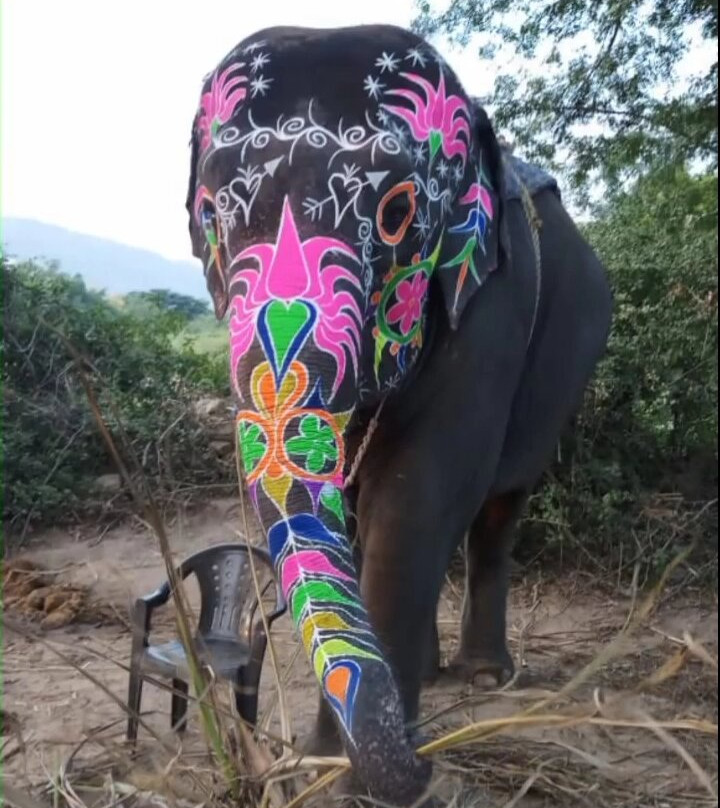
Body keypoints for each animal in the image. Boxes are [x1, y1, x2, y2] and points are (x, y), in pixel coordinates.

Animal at [186, 24, 612, 807]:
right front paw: (335, 760)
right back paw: (435, 676)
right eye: (211, 215)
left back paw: (484, 677)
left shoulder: (491, 304)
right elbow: (360, 507)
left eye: (398, 214)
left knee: (496, 512)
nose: (424, 767)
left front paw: (342, 771)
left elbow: (418, 496)